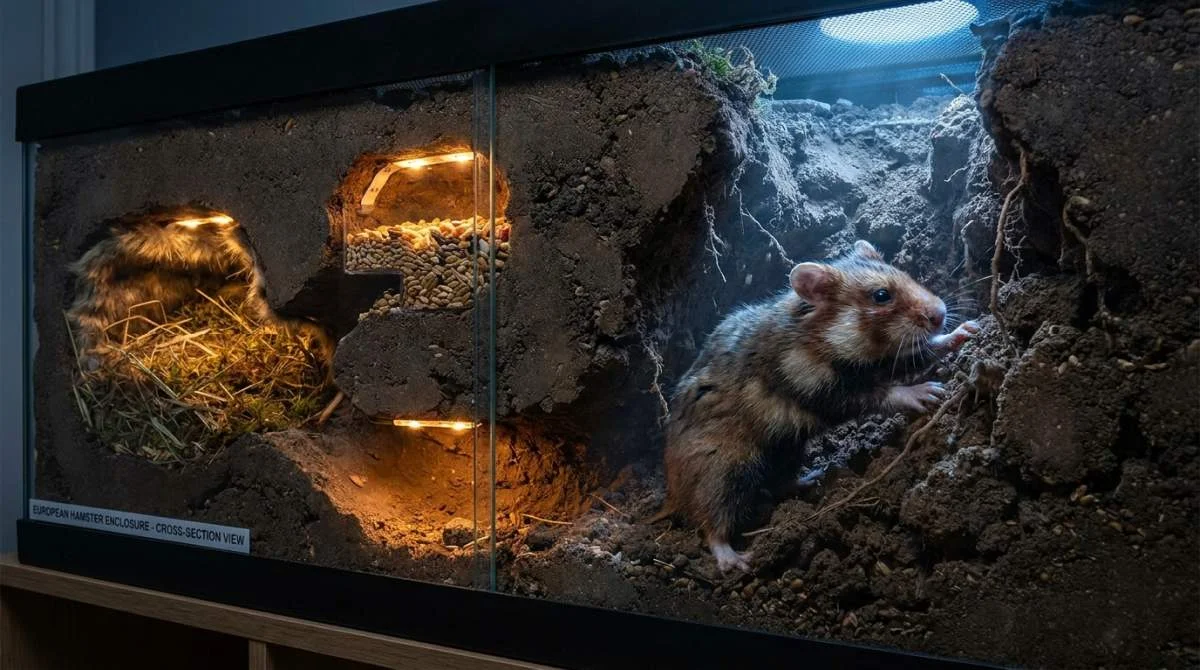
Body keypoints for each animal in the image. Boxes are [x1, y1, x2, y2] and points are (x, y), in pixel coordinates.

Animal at [656, 240, 978, 572]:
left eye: (905, 274)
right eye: (881, 295)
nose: (941, 314)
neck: (823, 335)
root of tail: (671, 496)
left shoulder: (885, 361)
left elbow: (922, 354)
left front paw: (969, 329)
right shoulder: (820, 388)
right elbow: (882, 394)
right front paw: (927, 393)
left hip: (787, 451)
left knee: (778, 484)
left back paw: (813, 477)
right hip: (723, 471)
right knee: (711, 522)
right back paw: (736, 560)